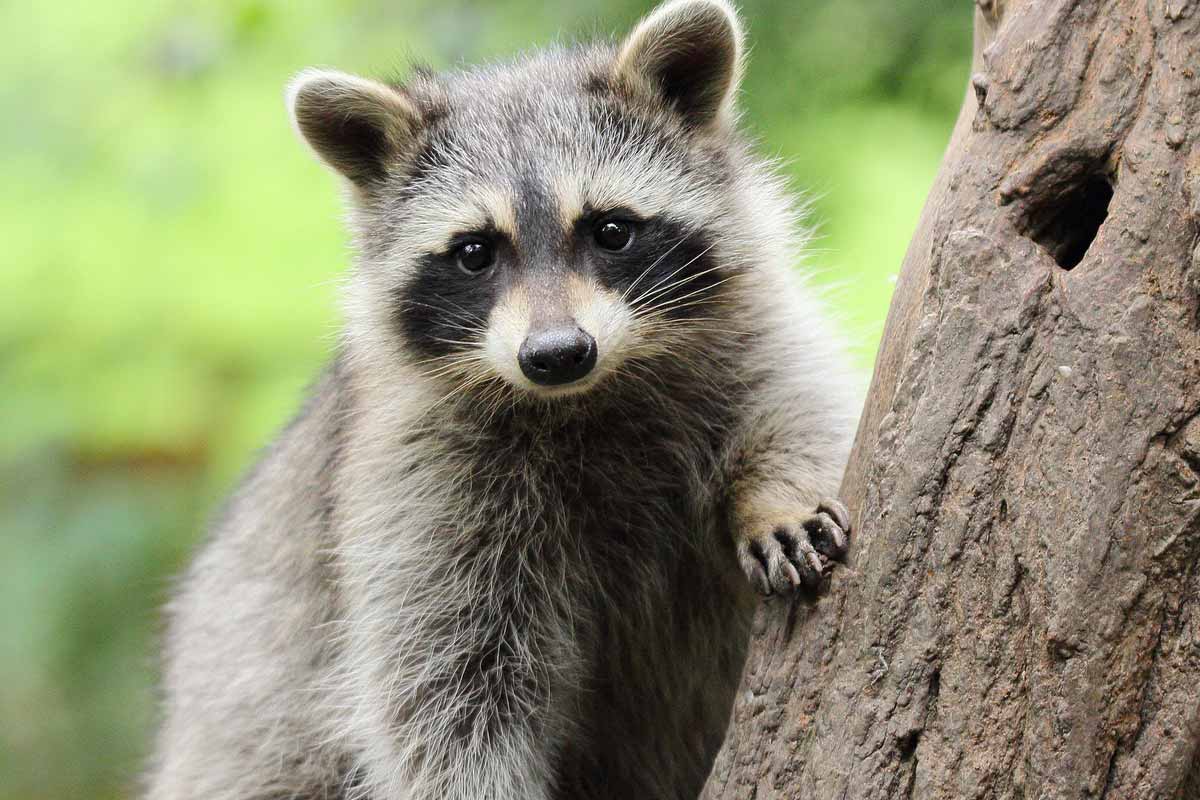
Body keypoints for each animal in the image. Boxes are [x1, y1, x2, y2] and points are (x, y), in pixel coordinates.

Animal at [150, 1, 864, 800]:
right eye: (474, 252)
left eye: (611, 230)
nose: (556, 354)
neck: (590, 396)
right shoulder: (421, 483)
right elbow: (447, 690)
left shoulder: (754, 331)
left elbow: (800, 406)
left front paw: (776, 495)